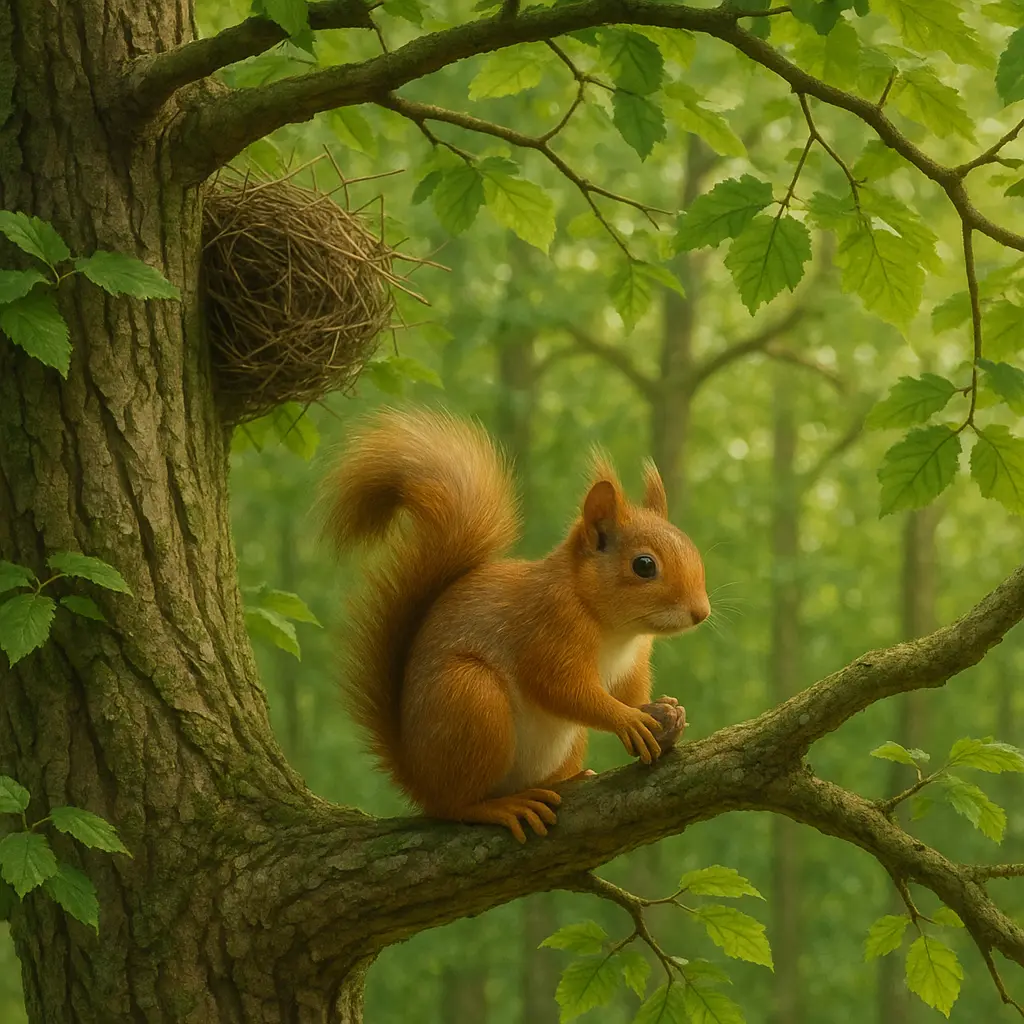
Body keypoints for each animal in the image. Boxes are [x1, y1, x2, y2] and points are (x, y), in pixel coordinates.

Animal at [321, 407, 710, 843]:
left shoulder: (634, 659)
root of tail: (418, 778)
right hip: (470, 698)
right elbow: (562, 688)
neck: (614, 627)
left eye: (691, 546)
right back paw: (498, 806)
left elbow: (628, 691)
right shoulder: (548, 627)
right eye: (644, 565)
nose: (701, 612)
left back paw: (567, 782)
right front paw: (627, 719)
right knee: (456, 805)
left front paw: (666, 711)